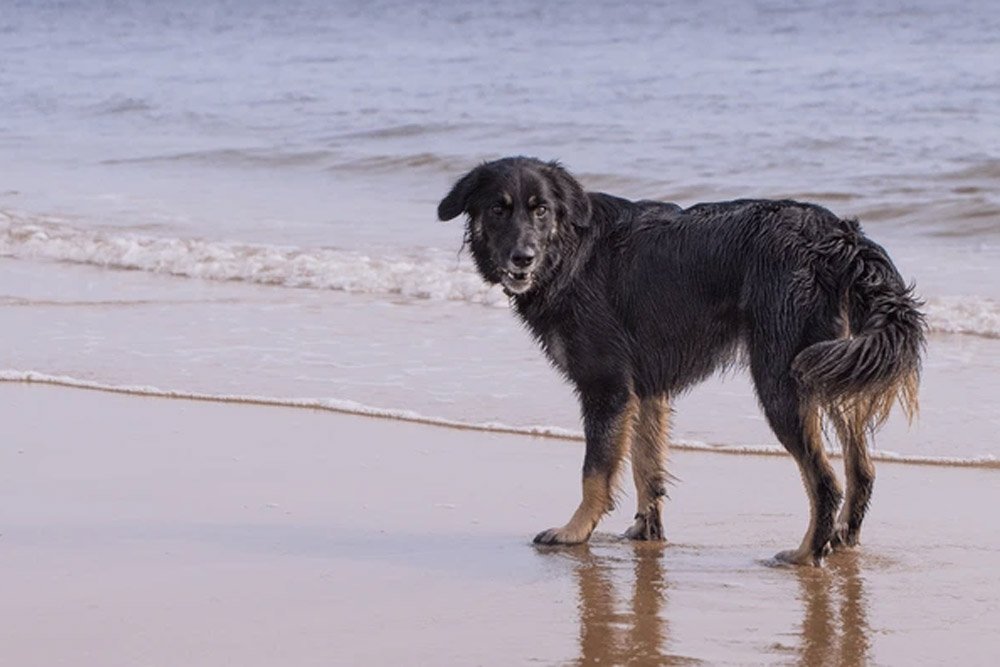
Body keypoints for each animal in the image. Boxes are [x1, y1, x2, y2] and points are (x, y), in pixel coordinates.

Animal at [442, 158, 924, 568]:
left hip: (785, 377)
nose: (522, 257)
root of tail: (841, 238)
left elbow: (595, 471)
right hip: (835, 367)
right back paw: (840, 540)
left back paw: (806, 553)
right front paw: (645, 533)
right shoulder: (645, 390)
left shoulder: (608, 387)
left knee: (825, 481)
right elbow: (645, 467)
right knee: (861, 470)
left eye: (540, 210)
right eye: (498, 209)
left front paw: (574, 532)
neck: (571, 250)